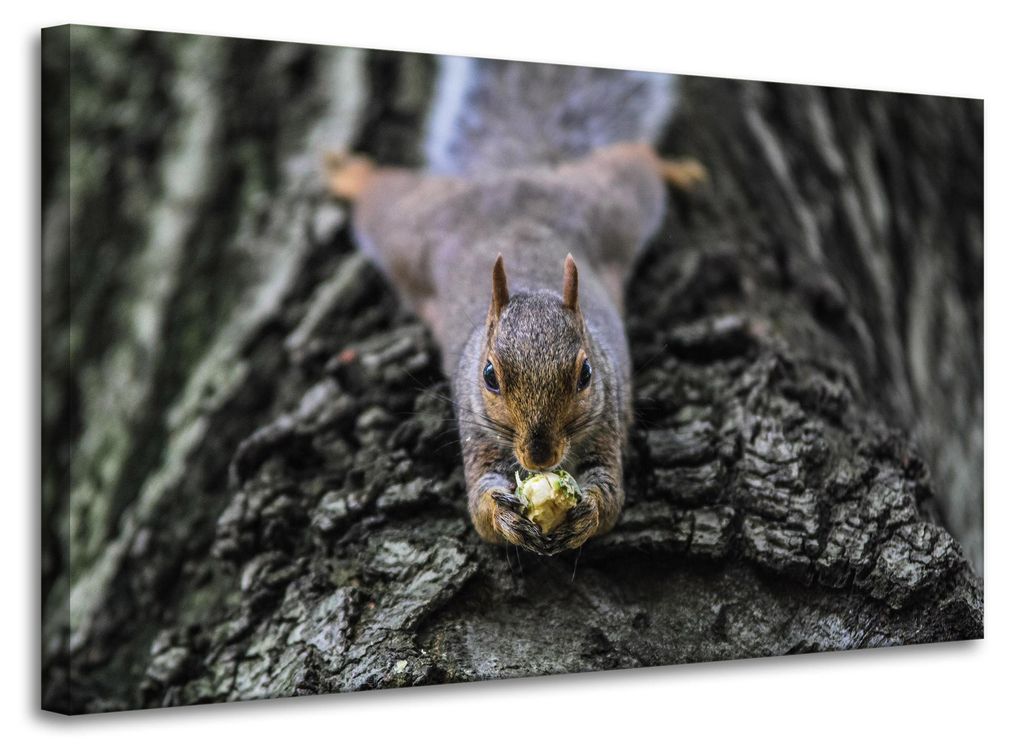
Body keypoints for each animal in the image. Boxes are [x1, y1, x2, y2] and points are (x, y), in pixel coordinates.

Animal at [327, 57, 704, 555]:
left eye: (586, 374)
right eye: (489, 375)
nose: (540, 456)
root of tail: (514, 176)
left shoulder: (606, 421)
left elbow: (610, 496)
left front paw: (587, 512)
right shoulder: (479, 434)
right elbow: (480, 507)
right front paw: (504, 515)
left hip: (613, 203)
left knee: (635, 159)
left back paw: (677, 169)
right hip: (408, 228)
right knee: (381, 194)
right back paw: (349, 173)